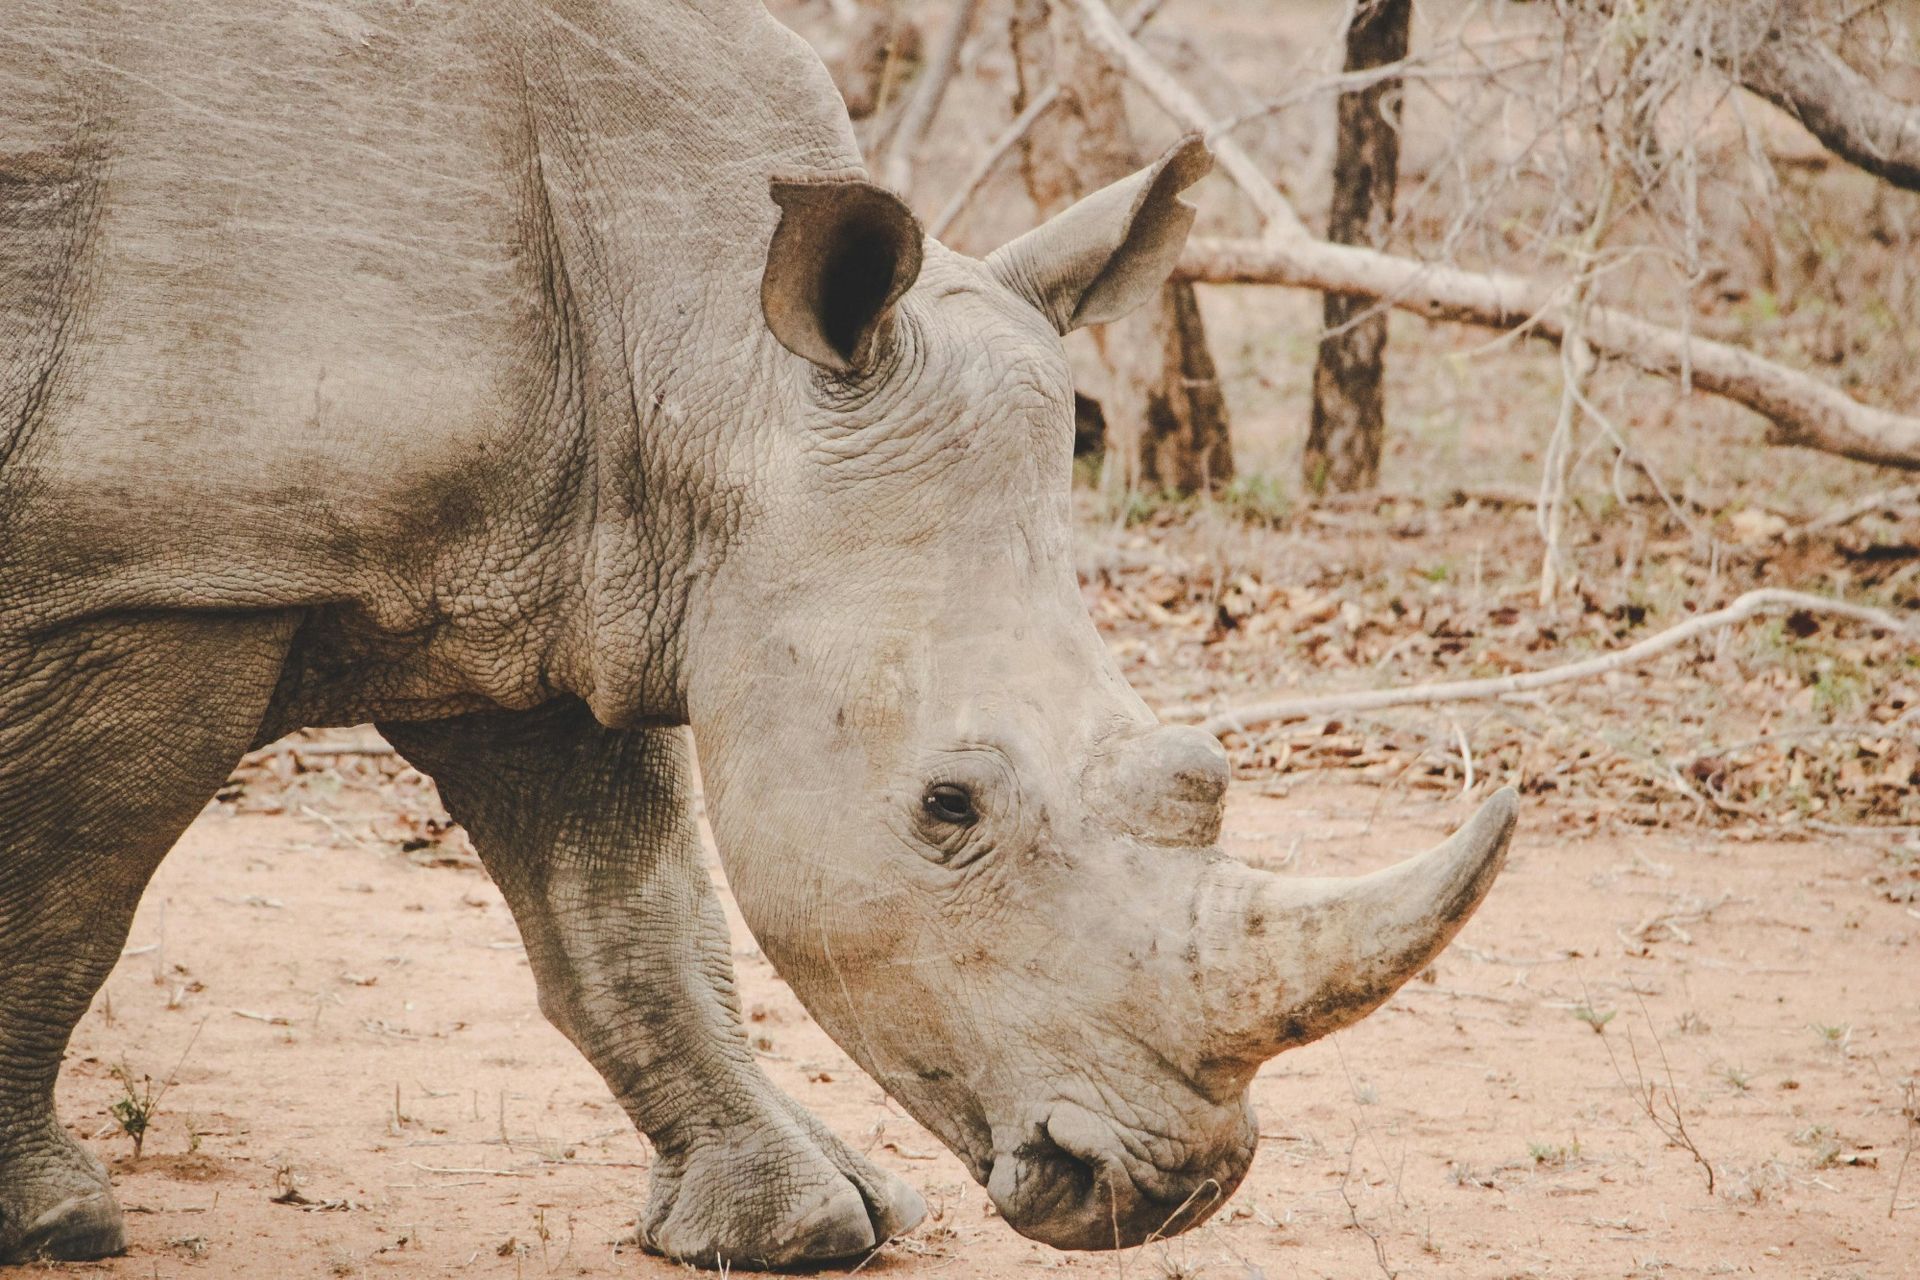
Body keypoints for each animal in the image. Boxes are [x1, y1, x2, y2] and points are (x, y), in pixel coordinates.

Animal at [0, 0, 1515, 1268]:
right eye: (949, 806)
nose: (1167, 1188)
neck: (702, 350)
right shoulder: (164, 573)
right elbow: (71, 886)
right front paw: (52, 1218)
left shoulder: (558, 576)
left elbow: (628, 913)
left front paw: (802, 1220)